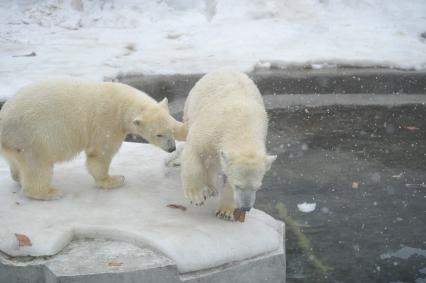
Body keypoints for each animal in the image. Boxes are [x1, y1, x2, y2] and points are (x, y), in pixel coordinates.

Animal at [0, 79, 186, 201]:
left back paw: (18, 177)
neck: (122, 102)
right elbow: (100, 153)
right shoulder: (107, 121)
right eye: (159, 135)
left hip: (16, 144)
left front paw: (184, 129)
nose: (171, 148)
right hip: (33, 138)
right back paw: (50, 192)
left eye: (169, 131)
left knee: (17, 163)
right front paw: (114, 180)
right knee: (38, 166)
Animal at [181, 71, 276, 222]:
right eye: (238, 185)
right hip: (191, 104)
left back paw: (211, 187)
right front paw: (196, 196)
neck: (243, 126)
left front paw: (225, 211)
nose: (245, 208)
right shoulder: (211, 129)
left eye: (257, 187)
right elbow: (194, 149)